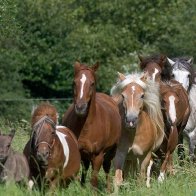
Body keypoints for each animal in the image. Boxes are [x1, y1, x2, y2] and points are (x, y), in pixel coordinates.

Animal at [62, 61, 121, 191]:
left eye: (92, 83)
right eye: (74, 82)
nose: (80, 107)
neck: (86, 126)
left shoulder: (98, 156)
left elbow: (94, 180)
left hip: (111, 152)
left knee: (107, 167)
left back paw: (109, 190)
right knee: (85, 168)